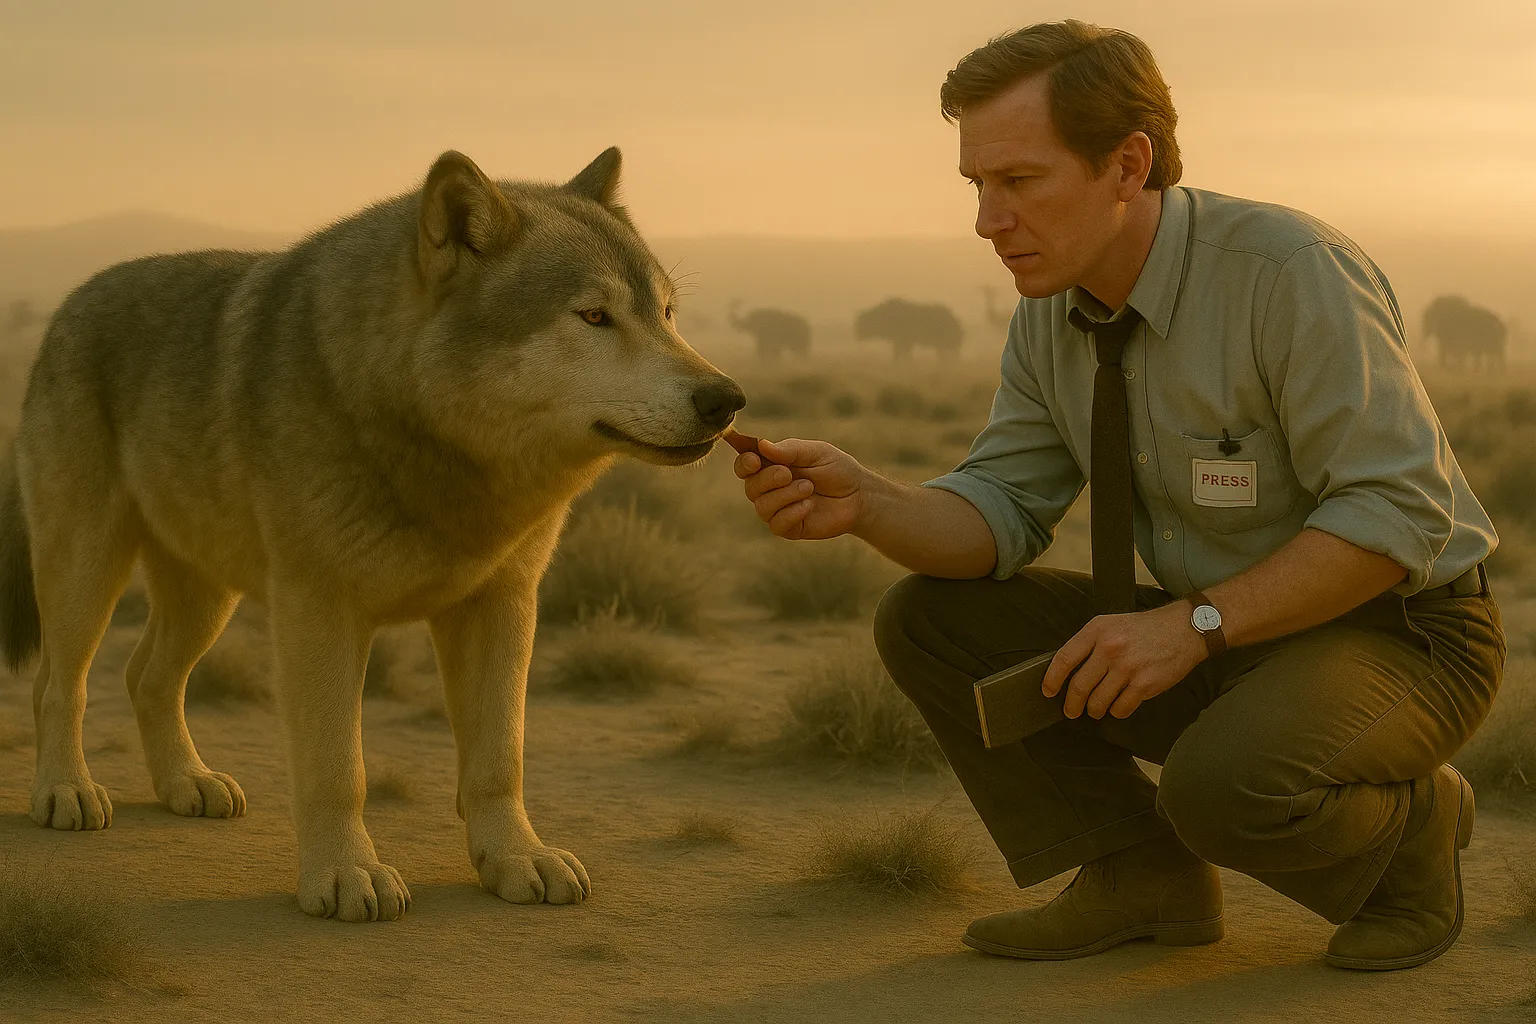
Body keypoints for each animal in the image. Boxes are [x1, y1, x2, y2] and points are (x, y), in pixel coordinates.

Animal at [0, 147, 745, 921]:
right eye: (595, 316)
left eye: (667, 314)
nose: (726, 400)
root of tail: (66, 306)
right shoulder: (319, 613)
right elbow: (338, 769)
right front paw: (345, 876)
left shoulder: (504, 606)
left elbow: (499, 760)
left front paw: (517, 860)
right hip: (88, 572)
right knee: (59, 683)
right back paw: (65, 792)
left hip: (206, 598)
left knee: (145, 676)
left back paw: (187, 785)